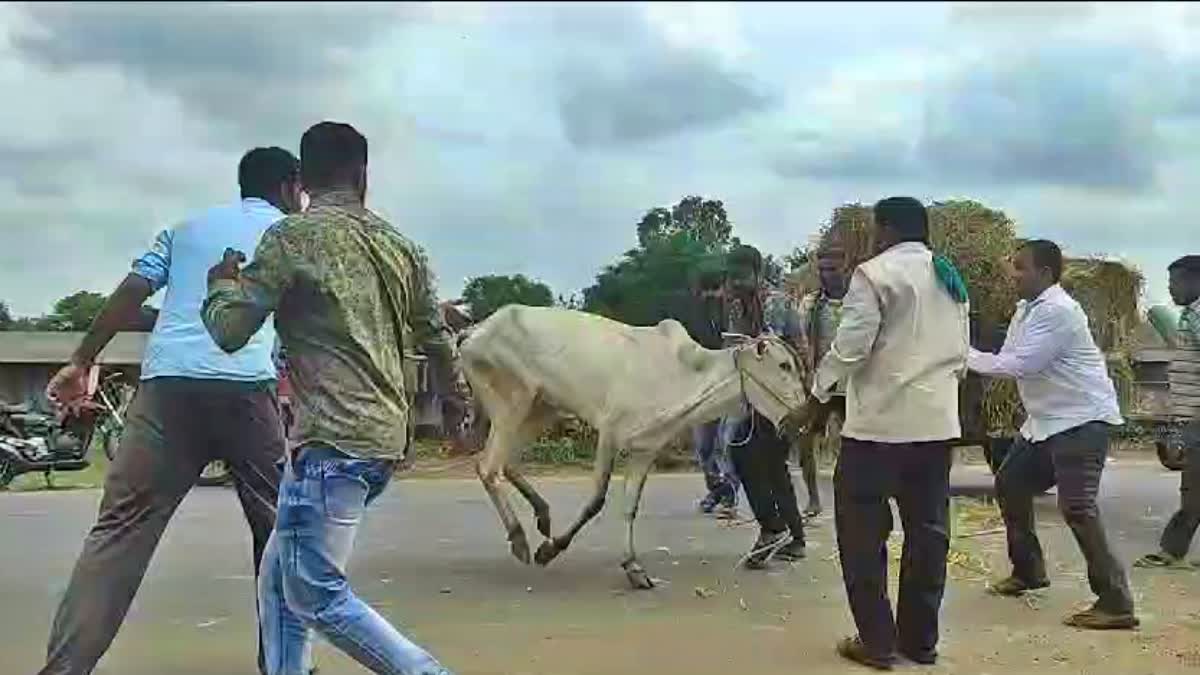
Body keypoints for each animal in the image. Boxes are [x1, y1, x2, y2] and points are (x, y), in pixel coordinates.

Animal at [458, 302, 816, 586]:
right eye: (784, 365)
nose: (805, 415)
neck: (684, 374)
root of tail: (475, 331)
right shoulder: (609, 434)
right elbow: (596, 501)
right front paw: (551, 549)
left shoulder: (645, 450)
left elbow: (630, 507)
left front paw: (633, 566)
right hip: (513, 401)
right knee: (488, 466)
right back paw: (519, 538)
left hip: (541, 408)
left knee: (504, 462)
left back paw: (542, 515)